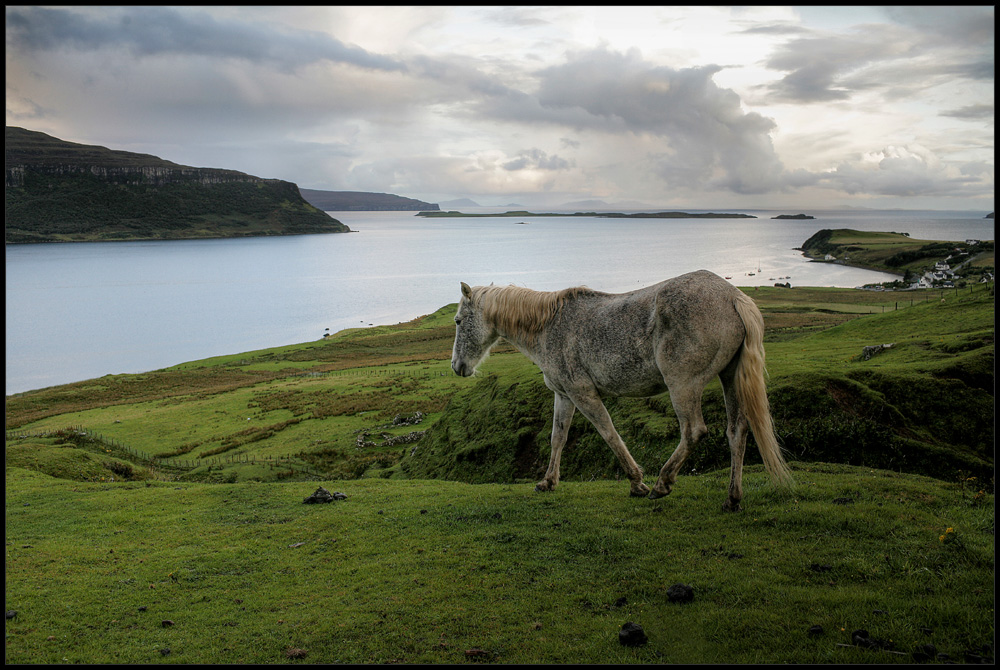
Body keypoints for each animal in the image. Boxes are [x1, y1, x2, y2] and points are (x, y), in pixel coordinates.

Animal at [452, 270, 788, 512]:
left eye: (457, 320)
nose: (457, 366)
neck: (549, 326)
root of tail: (733, 297)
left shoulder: (583, 394)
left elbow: (609, 434)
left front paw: (637, 483)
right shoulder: (564, 395)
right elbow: (557, 437)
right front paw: (548, 482)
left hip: (682, 384)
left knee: (694, 431)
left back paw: (662, 484)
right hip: (729, 377)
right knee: (736, 431)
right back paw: (732, 498)